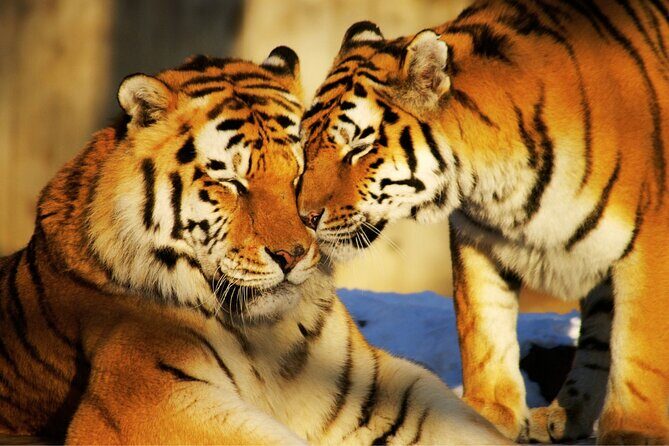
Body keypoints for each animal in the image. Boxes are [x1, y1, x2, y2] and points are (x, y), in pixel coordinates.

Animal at [0, 48, 510, 444]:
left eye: (302, 170)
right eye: (231, 180)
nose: (292, 255)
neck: (271, 335)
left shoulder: (368, 389)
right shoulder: (145, 400)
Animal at [297, 1, 669, 444]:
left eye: (358, 148)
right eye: (306, 144)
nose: (304, 215)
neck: (493, 184)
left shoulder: (650, 238)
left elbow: (639, 348)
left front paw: (635, 432)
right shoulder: (478, 238)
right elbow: (483, 328)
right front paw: (488, 415)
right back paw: (562, 415)